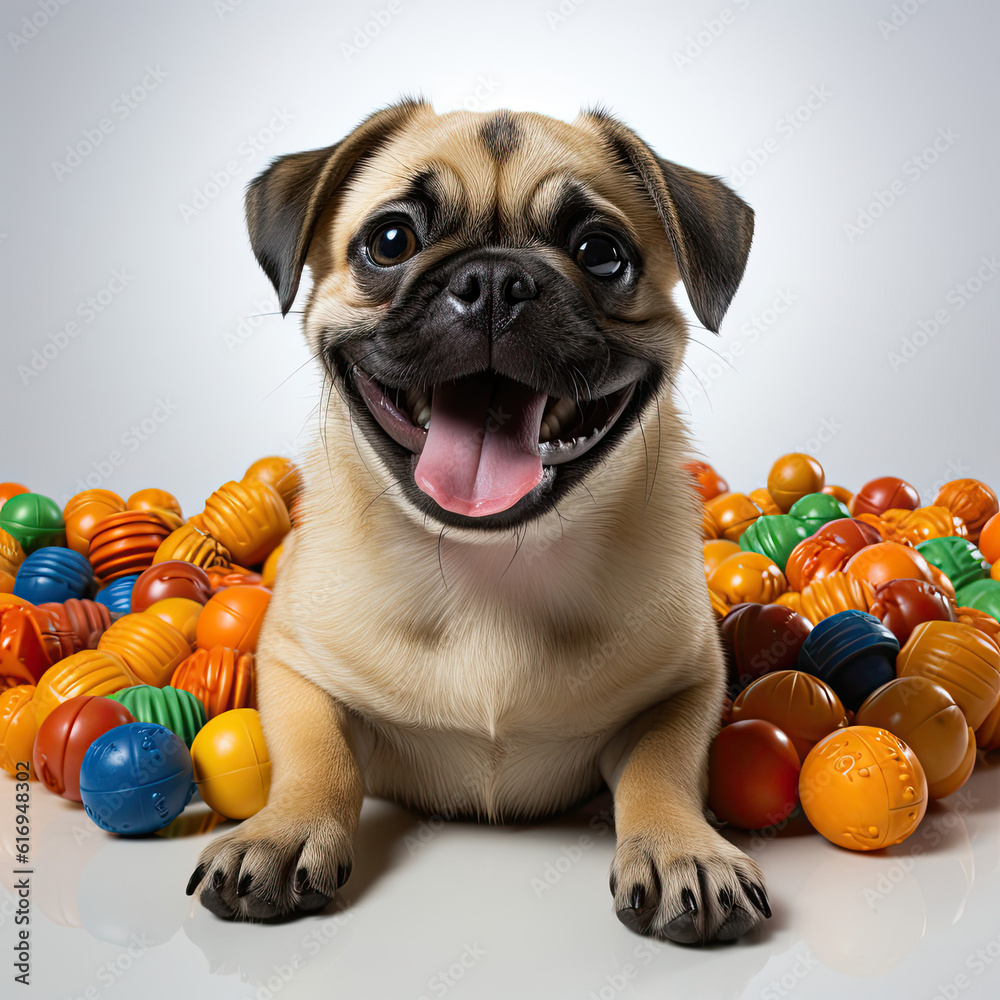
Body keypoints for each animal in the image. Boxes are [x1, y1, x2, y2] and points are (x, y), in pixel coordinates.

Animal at [186, 101, 764, 944]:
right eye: (390, 241)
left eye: (601, 253)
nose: (493, 280)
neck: (490, 563)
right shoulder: (295, 665)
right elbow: (315, 754)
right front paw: (283, 830)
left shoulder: (689, 683)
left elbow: (663, 767)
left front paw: (681, 848)